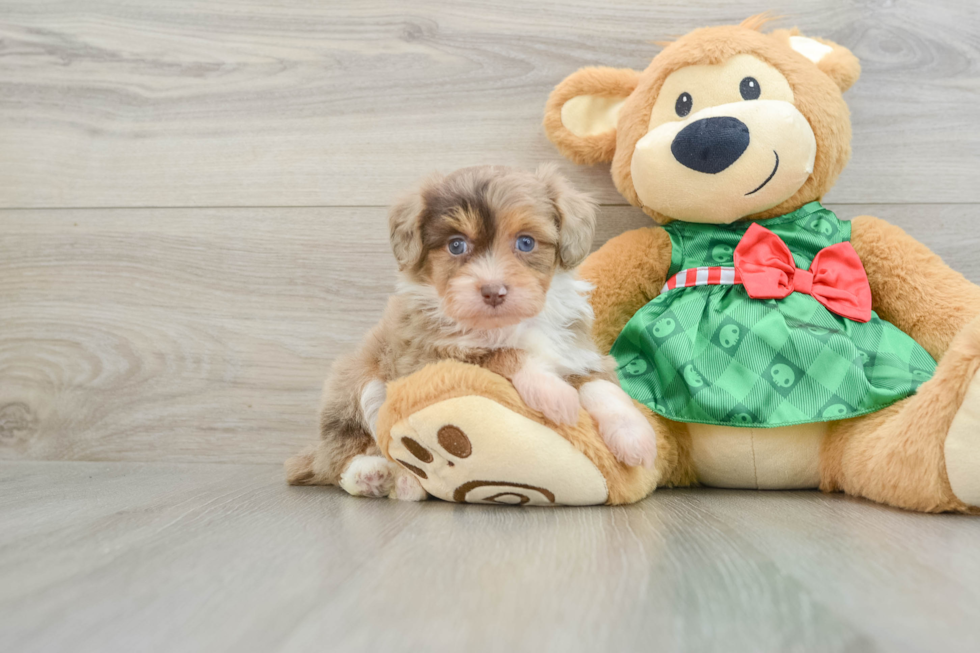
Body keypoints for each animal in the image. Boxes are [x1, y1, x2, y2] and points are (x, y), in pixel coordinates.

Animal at [286, 164, 660, 500]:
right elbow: (504, 353)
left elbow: (602, 387)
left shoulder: (577, 350)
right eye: (456, 245)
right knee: (340, 457)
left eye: (526, 242)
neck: (509, 323)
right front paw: (554, 393)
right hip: (357, 382)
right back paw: (379, 477)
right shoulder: (427, 357)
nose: (493, 291)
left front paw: (634, 436)